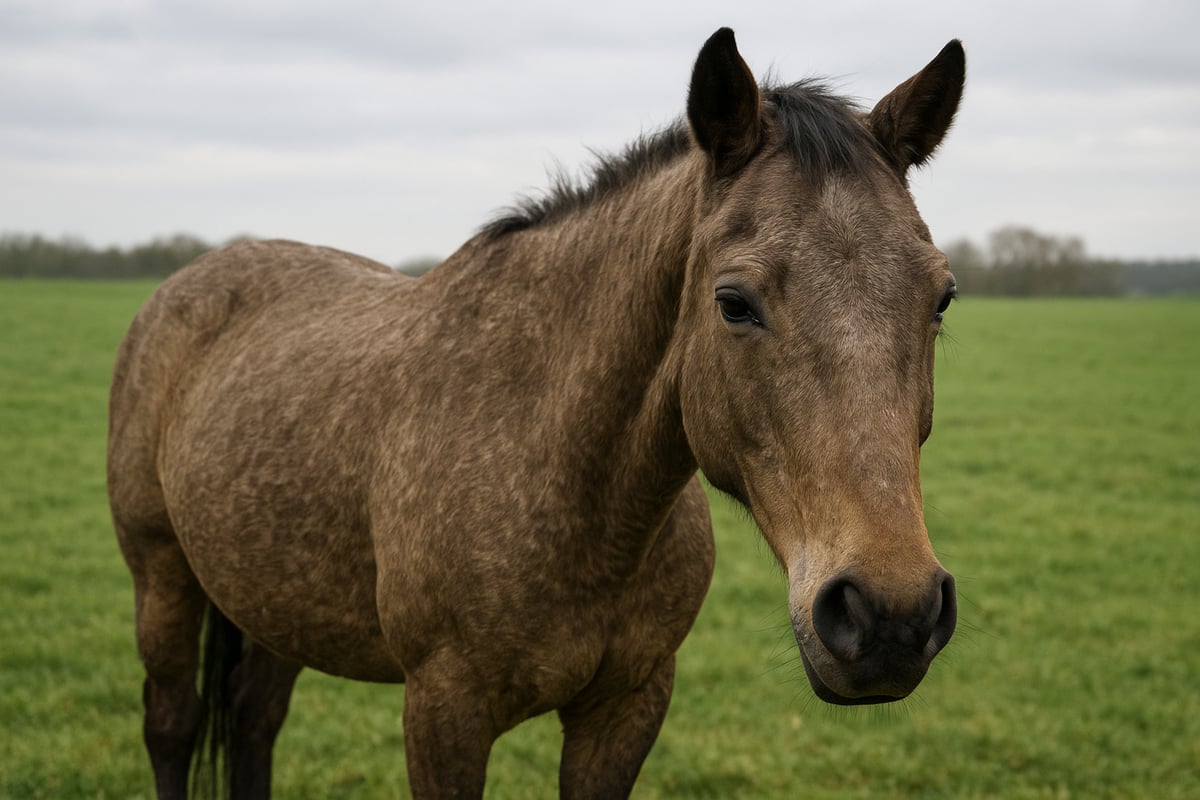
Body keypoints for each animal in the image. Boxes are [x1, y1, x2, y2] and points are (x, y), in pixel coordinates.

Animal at [108, 28, 965, 798]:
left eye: (941, 298)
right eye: (734, 303)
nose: (889, 616)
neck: (560, 475)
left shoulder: (625, 708)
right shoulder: (443, 714)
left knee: (254, 720)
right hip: (162, 578)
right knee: (172, 726)